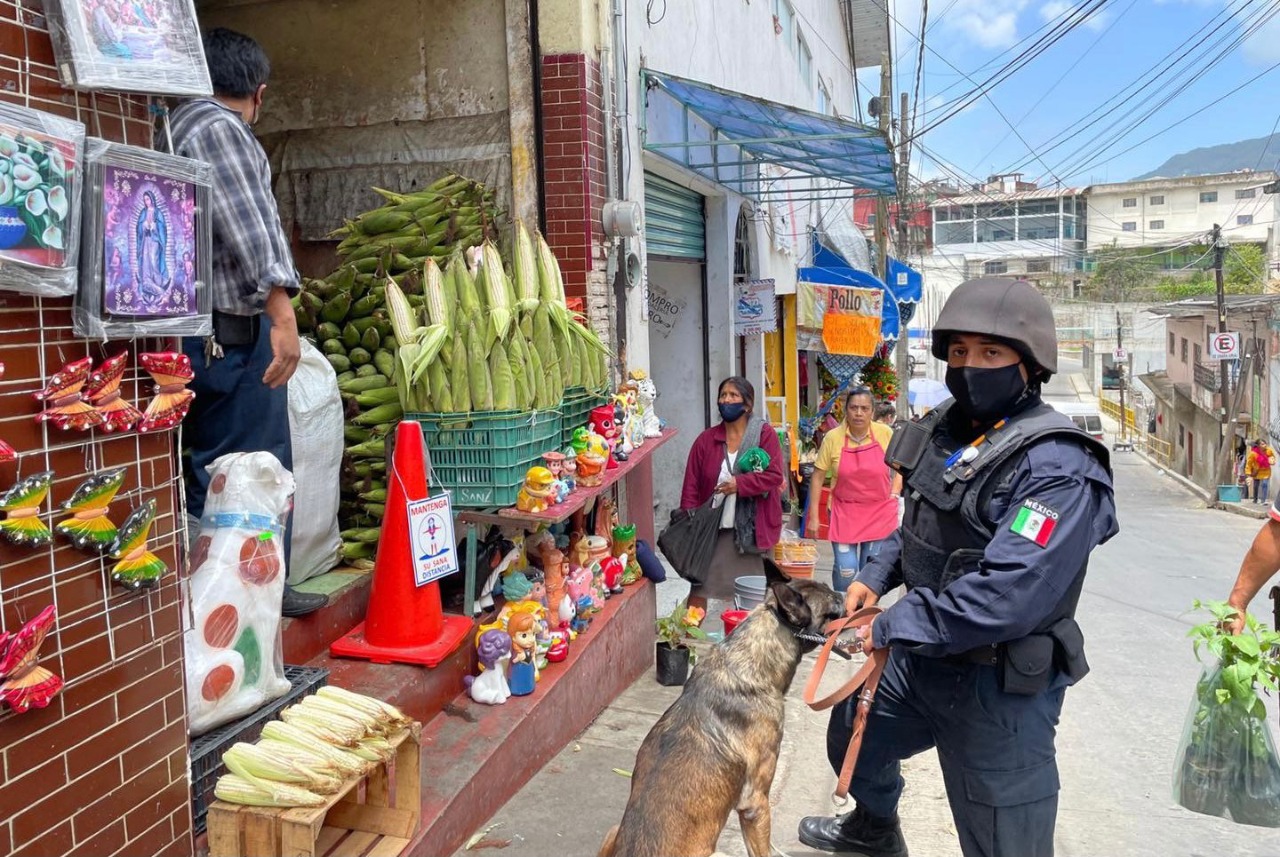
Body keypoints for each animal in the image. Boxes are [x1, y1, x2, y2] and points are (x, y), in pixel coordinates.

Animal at [601, 560, 849, 857]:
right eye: (833, 602)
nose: (848, 594)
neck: (751, 657)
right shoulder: (755, 803)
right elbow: (762, 849)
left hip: (613, 829)